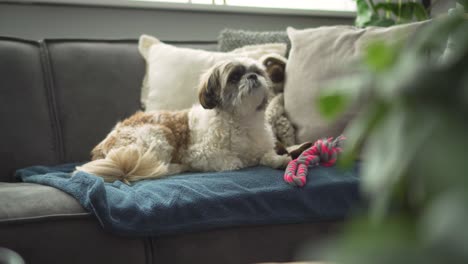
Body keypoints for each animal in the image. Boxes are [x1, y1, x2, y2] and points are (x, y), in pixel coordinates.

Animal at [74, 57, 290, 184]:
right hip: (159, 135)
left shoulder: (261, 146)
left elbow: (266, 155)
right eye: (234, 77)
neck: (242, 120)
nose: (252, 76)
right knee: (153, 167)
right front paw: (243, 161)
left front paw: (280, 159)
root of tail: (101, 147)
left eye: (259, 72)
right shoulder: (199, 154)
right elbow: (235, 161)